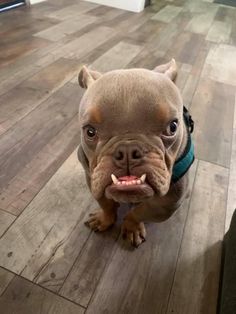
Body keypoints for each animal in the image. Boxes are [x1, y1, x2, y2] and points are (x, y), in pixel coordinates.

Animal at [77, 57, 194, 247]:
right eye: (90, 131)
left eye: (172, 127)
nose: (127, 151)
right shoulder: (92, 178)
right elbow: (106, 204)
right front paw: (104, 219)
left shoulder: (166, 204)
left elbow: (140, 212)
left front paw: (132, 227)